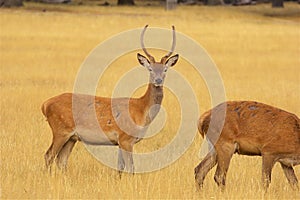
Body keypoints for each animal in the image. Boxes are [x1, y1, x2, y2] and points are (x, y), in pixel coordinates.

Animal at [41, 24, 178, 175]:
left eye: (165, 69)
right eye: (150, 69)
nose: (158, 80)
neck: (141, 110)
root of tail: (45, 104)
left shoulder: (119, 141)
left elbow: (120, 167)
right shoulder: (125, 139)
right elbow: (131, 168)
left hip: (72, 137)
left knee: (61, 160)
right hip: (60, 130)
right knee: (49, 155)